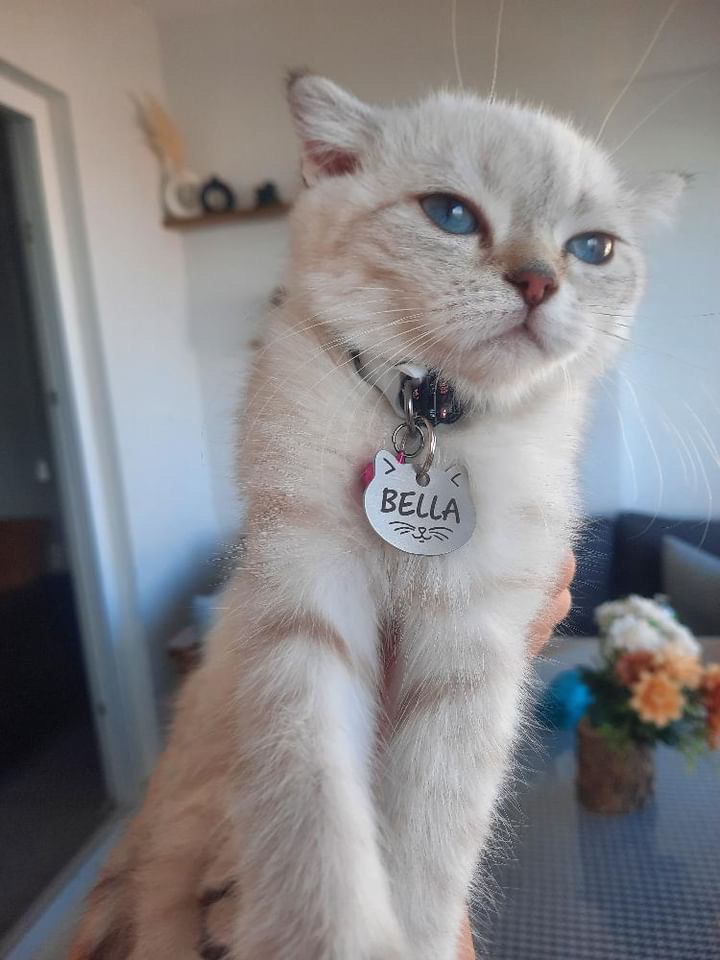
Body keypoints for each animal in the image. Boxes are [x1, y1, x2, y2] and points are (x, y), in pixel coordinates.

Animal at [68, 73, 683, 960]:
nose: (539, 283)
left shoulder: (473, 648)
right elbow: (315, 819)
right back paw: (219, 904)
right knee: (167, 889)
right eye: (451, 214)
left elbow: (429, 836)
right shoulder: (306, 598)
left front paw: (411, 935)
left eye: (593, 249)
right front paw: (335, 937)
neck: (430, 410)